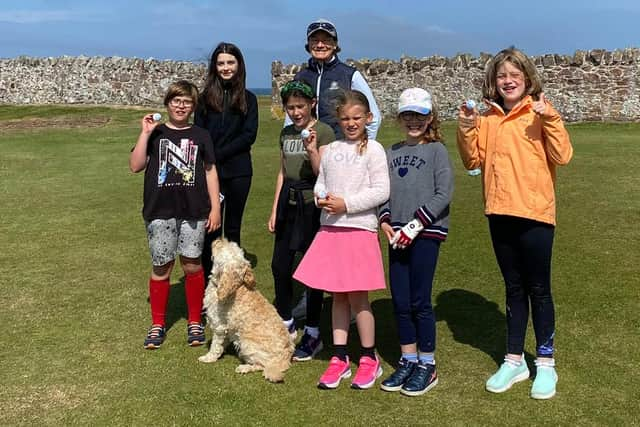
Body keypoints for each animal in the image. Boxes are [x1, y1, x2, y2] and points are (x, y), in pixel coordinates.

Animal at [199, 239, 294, 382]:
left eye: (223, 248)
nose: (220, 239)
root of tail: (285, 359)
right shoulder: (227, 328)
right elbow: (222, 344)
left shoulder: (219, 326)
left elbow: (215, 345)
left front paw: (208, 358)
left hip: (246, 343)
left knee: (262, 365)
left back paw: (244, 367)